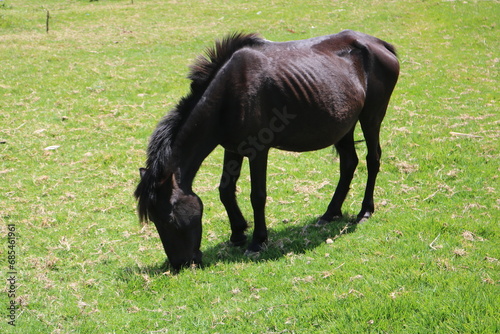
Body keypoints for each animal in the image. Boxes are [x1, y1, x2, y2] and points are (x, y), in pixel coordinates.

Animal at [133, 30, 398, 272]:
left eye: (169, 219)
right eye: (153, 220)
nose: (180, 265)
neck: (228, 95)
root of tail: (379, 43)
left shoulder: (257, 151)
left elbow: (257, 196)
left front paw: (257, 241)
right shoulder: (232, 149)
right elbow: (225, 191)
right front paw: (238, 233)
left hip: (371, 117)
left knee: (372, 159)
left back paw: (365, 211)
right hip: (345, 125)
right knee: (349, 163)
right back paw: (330, 213)